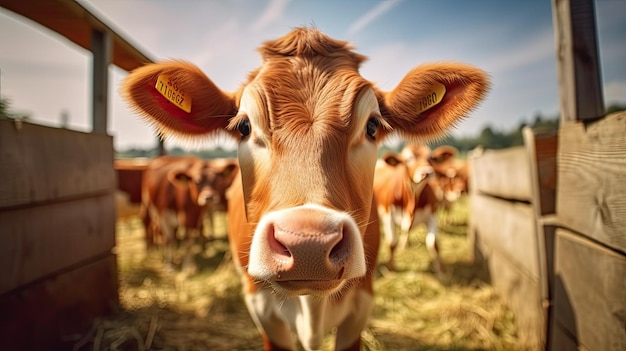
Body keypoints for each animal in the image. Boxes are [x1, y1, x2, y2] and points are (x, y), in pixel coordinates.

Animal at [372, 144, 442, 274]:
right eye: (408, 159)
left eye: (431, 157)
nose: (427, 172)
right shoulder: (388, 215)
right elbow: (392, 243)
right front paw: (390, 267)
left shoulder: (432, 214)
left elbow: (433, 243)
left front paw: (440, 271)